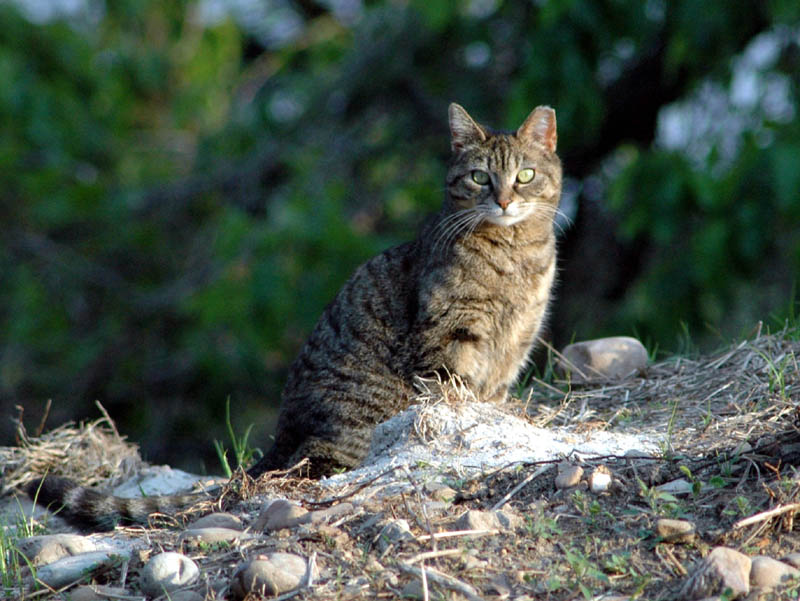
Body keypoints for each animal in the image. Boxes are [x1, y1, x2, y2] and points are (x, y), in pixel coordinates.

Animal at [26, 103, 564, 528]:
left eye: (525, 176)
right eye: (479, 177)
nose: (504, 199)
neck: (516, 253)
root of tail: (280, 435)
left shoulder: (516, 344)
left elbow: (491, 399)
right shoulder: (451, 333)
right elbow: (454, 394)